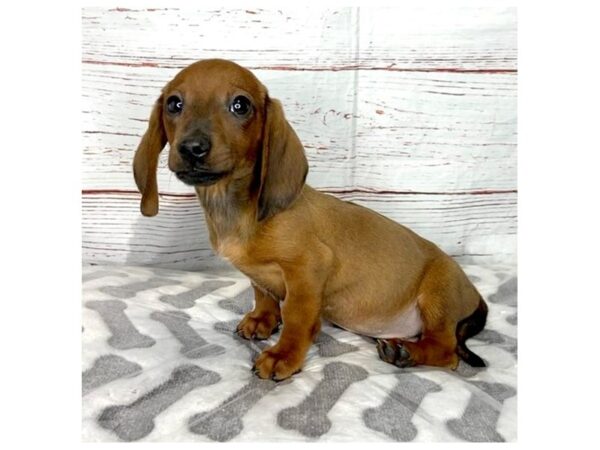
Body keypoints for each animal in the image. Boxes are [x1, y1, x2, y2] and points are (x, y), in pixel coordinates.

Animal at [132, 57, 488, 380]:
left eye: (240, 105)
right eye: (174, 104)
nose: (192, 148)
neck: (237, 210)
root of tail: (475, 294)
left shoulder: (307, 270)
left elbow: (296, 316)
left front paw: (284, 355)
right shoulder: (259, 274)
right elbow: (263, 294)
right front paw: (262, 320)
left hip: (437, 294)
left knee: (447, 352)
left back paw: (406, 352)